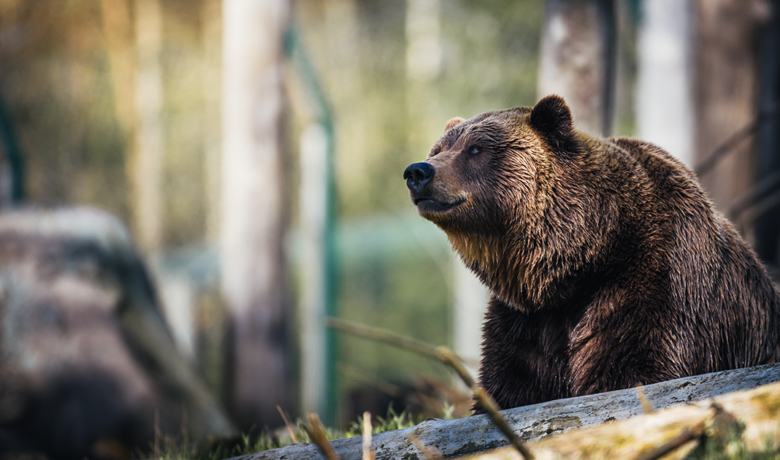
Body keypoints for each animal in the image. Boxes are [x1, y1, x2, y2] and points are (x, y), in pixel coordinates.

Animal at [403, 94, 780, 410]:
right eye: (439, 148)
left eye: (476, 148)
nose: (418, 171)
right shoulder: (526, 322)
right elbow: (509, 385)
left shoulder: (653, 286)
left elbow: (634, 369)